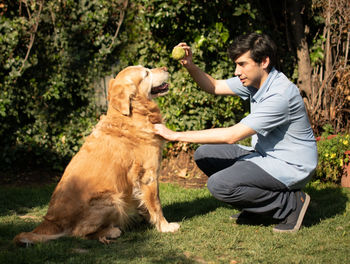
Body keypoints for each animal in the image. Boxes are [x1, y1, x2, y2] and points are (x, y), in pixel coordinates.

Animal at [13, 64, 180, 245]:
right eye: (146, 74)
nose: (165, 67)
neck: (132, 116)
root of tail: (51, 220)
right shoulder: (148, 176)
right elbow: (156, 203)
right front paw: (165, 226)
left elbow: (144, 203)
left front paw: (147, 218)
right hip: (112, 200)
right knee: (79, 233)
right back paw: (111, 231)